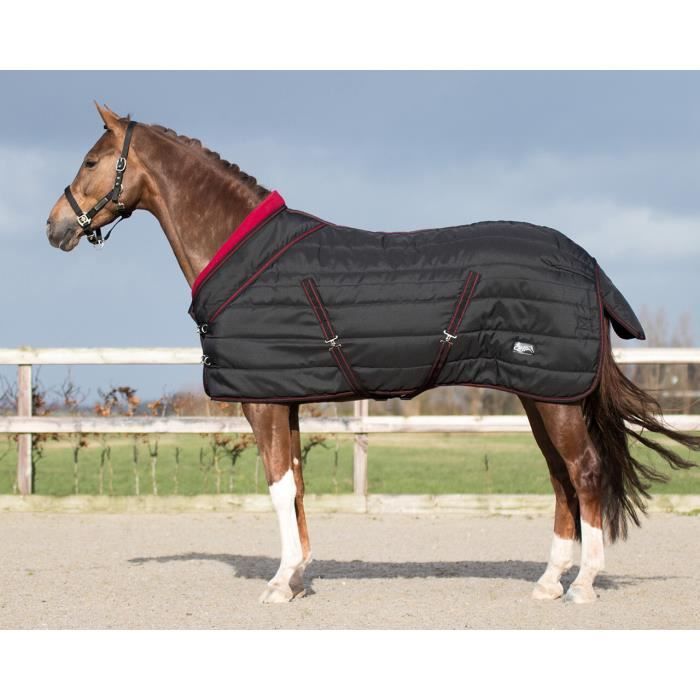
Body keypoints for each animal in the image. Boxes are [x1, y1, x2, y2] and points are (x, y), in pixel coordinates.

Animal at [46, 104, 700, 605]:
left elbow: (278, 486)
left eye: (90, 161)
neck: (244, 254)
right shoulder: (285, 398)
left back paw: (582, 585)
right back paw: (546, 583)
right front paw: (299, 576)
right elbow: (297, 485)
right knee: (562, 478)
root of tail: (587, 263)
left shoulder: (262, 401)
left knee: (583, 472)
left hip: (552, 395)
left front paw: (279, 584)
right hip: (541, 395)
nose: (55, 228)